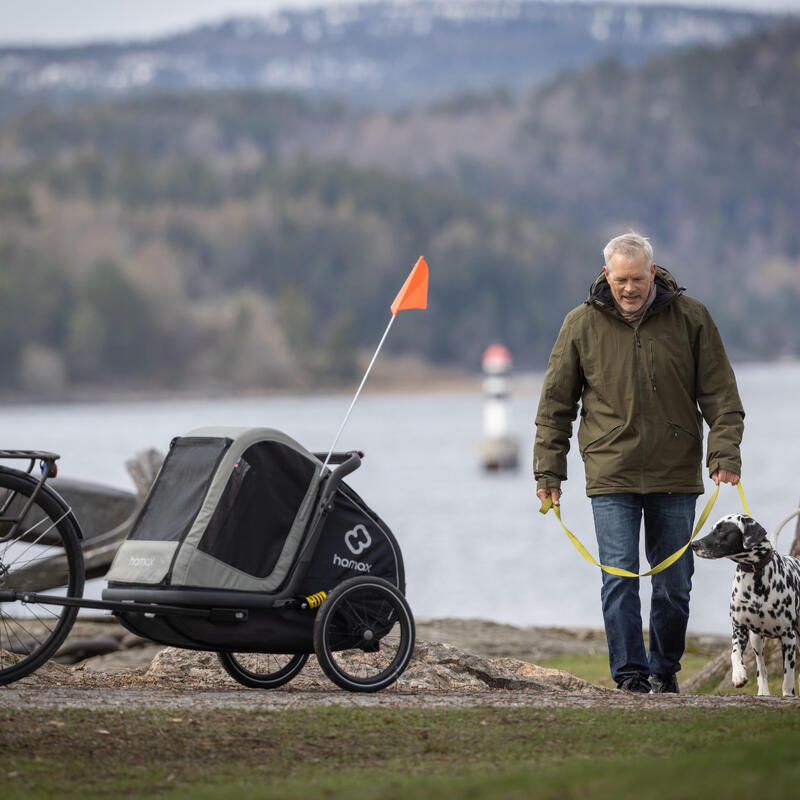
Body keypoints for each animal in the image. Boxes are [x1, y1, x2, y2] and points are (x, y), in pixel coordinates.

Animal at [692, 516, 800, 696]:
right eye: (712, 528)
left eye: (721, 530)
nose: (694, 544)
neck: (756, 578)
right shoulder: (739, 630)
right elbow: (734, 654)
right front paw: (738, 675)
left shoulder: (787, 637)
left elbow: (788, 676)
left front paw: (787, 695)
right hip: (756, 640)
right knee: (761, 668)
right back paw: (763, 691)